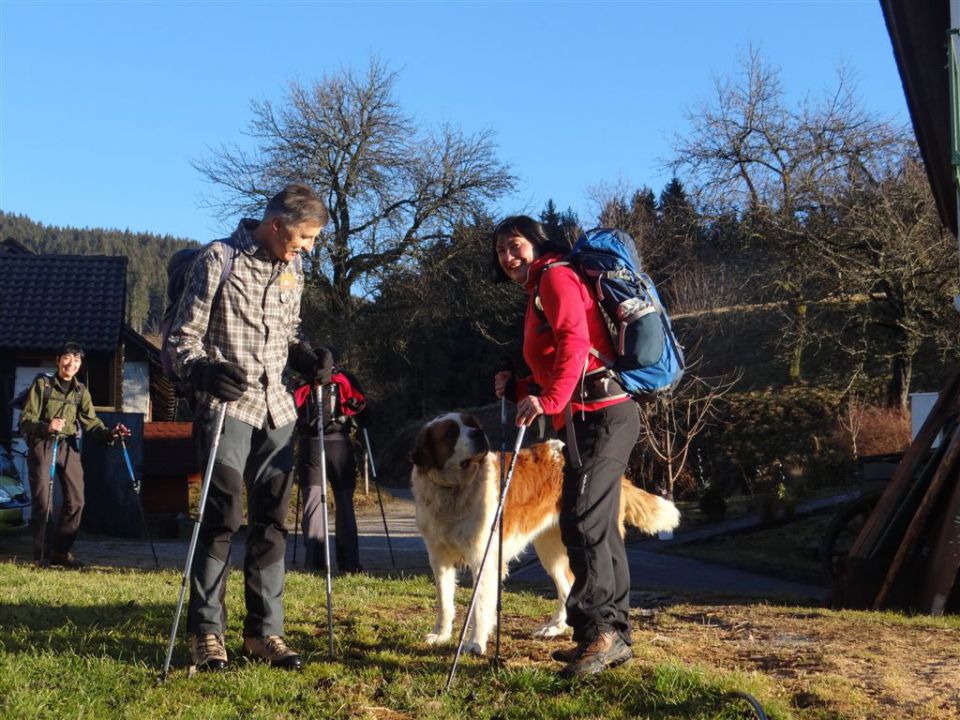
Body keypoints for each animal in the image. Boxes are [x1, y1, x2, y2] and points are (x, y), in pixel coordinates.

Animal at [408, 414, 680, 656]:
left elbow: (480, 606)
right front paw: (441, 635)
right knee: (566, 587)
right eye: (451, 433)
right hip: (551, 550)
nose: (478, 433)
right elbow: (444, 601)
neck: (454, 489)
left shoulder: (483, 559)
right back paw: (555, 628)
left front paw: (475, 643)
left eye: (472, 424)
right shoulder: (439, 559)